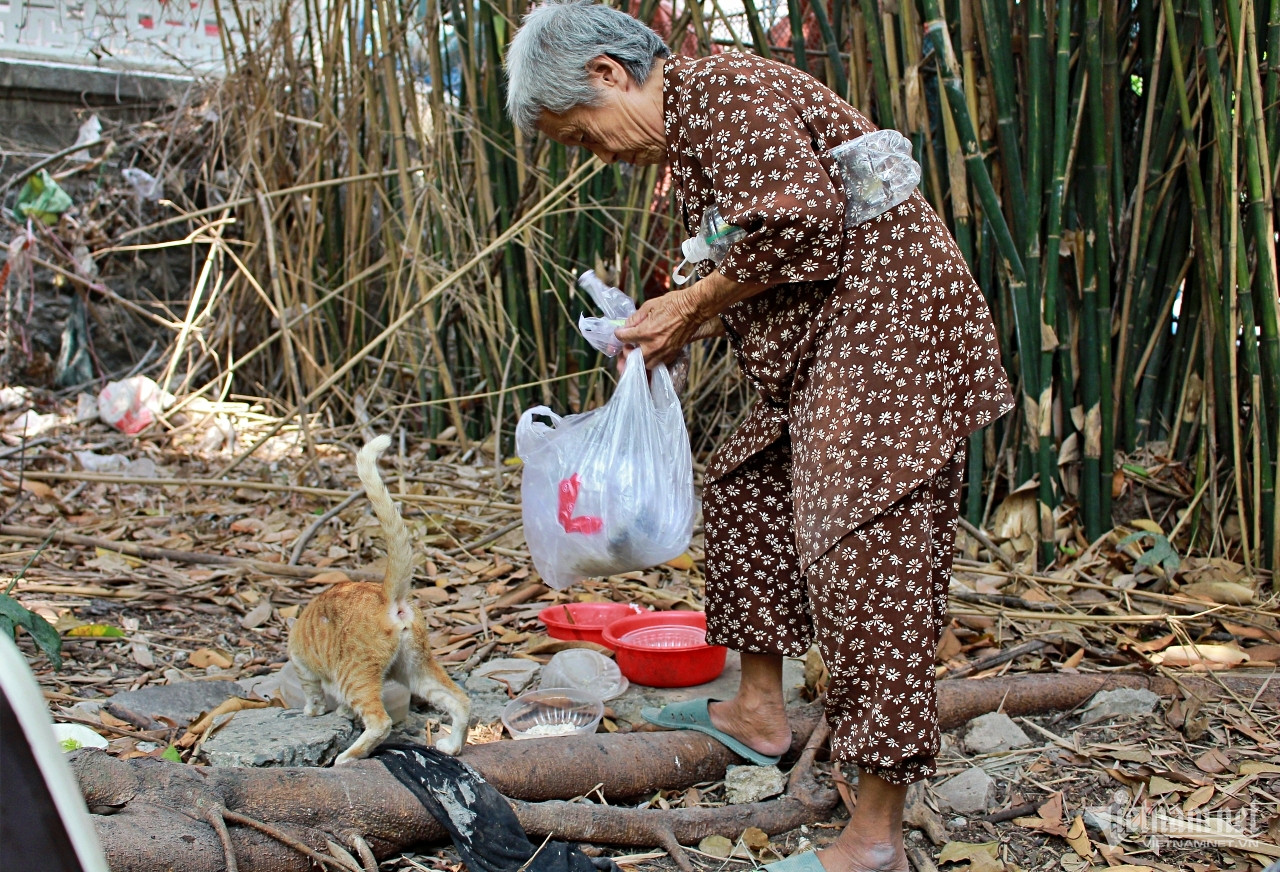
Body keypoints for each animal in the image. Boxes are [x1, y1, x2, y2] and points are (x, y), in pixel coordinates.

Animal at [288, 435, 473, 763]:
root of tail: (386, 595)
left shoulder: (303, 665)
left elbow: (312, 690)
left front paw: (314, 710)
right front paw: (342, 713)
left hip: (355, 675)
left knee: (380, 722)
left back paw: (347, 757)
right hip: (415, 668)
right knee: (460, 700)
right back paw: (452, 746)